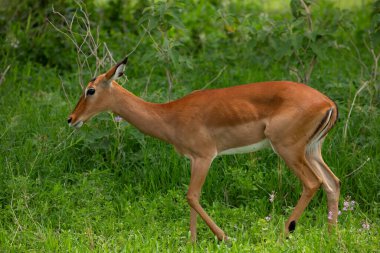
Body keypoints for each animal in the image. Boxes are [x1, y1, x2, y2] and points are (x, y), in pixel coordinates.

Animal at [68, 57, 342, 241]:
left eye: (90, 90)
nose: (71, 119)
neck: (169, 115)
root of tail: (328, 103)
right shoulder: (193, 160)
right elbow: (192, 197)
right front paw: (193, 241)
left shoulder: (205, 157)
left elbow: (191, 196)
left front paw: (225, 237)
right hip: (312, 151)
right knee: (332, 183)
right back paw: (330, 236)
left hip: (288, 149)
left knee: (312, 183)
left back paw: (284, 233)